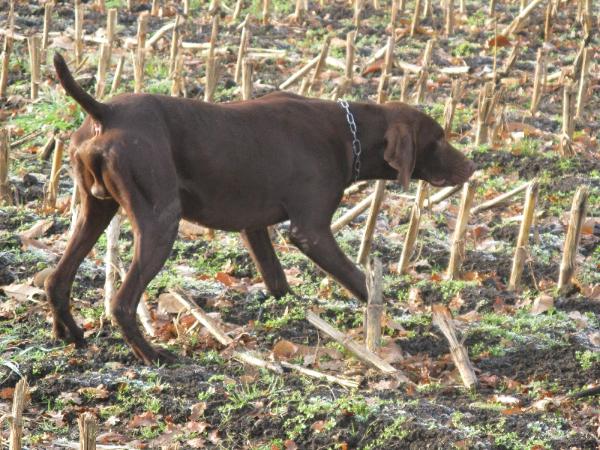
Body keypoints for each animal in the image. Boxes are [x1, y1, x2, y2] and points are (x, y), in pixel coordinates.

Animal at [45, 53, 474, 362]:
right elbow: (361, 282)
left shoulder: (253, 227)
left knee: (56, 280)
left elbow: (278, 280)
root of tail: (105, 112)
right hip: (160, 222)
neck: (347, 132)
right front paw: (399, 323)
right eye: (438, 138)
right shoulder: (311, 232)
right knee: (121, 303)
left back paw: (71, 335)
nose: (472, 166)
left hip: (94, 211)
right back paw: (153, 355)